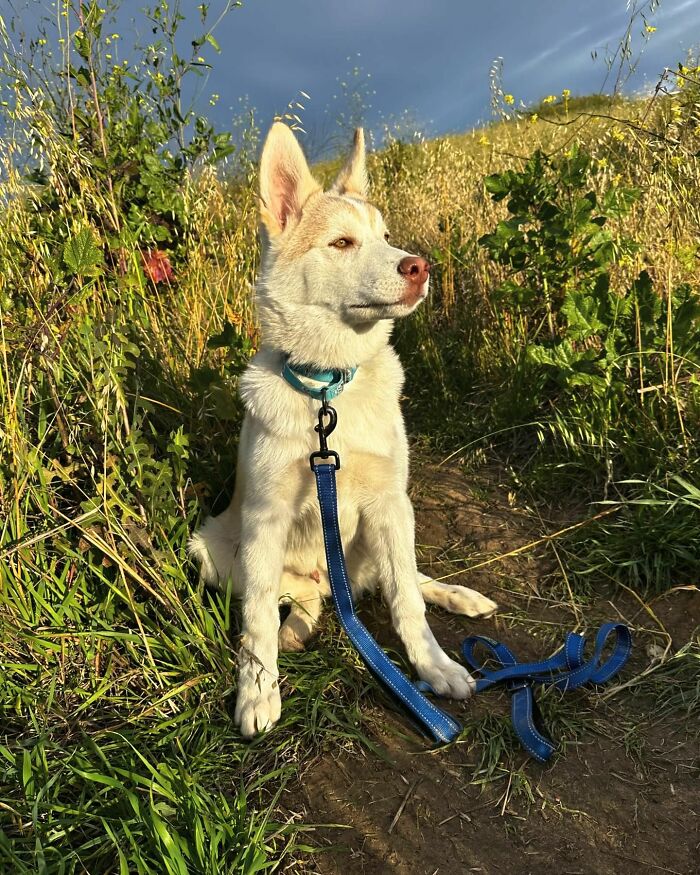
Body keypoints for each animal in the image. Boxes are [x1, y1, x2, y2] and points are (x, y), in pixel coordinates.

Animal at [189, 121, 498, 740]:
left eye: (386, 236)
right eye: (341, 243)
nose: (419, 266)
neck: (329, 391)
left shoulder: (389, 502)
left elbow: (407, 603)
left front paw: (434, 667)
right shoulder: (265, 519)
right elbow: (257, 619)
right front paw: (257, 693)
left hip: (381, 533)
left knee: (402, 580)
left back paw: (457, 595)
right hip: (213, 552)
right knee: (300, 595)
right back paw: (298, 628)